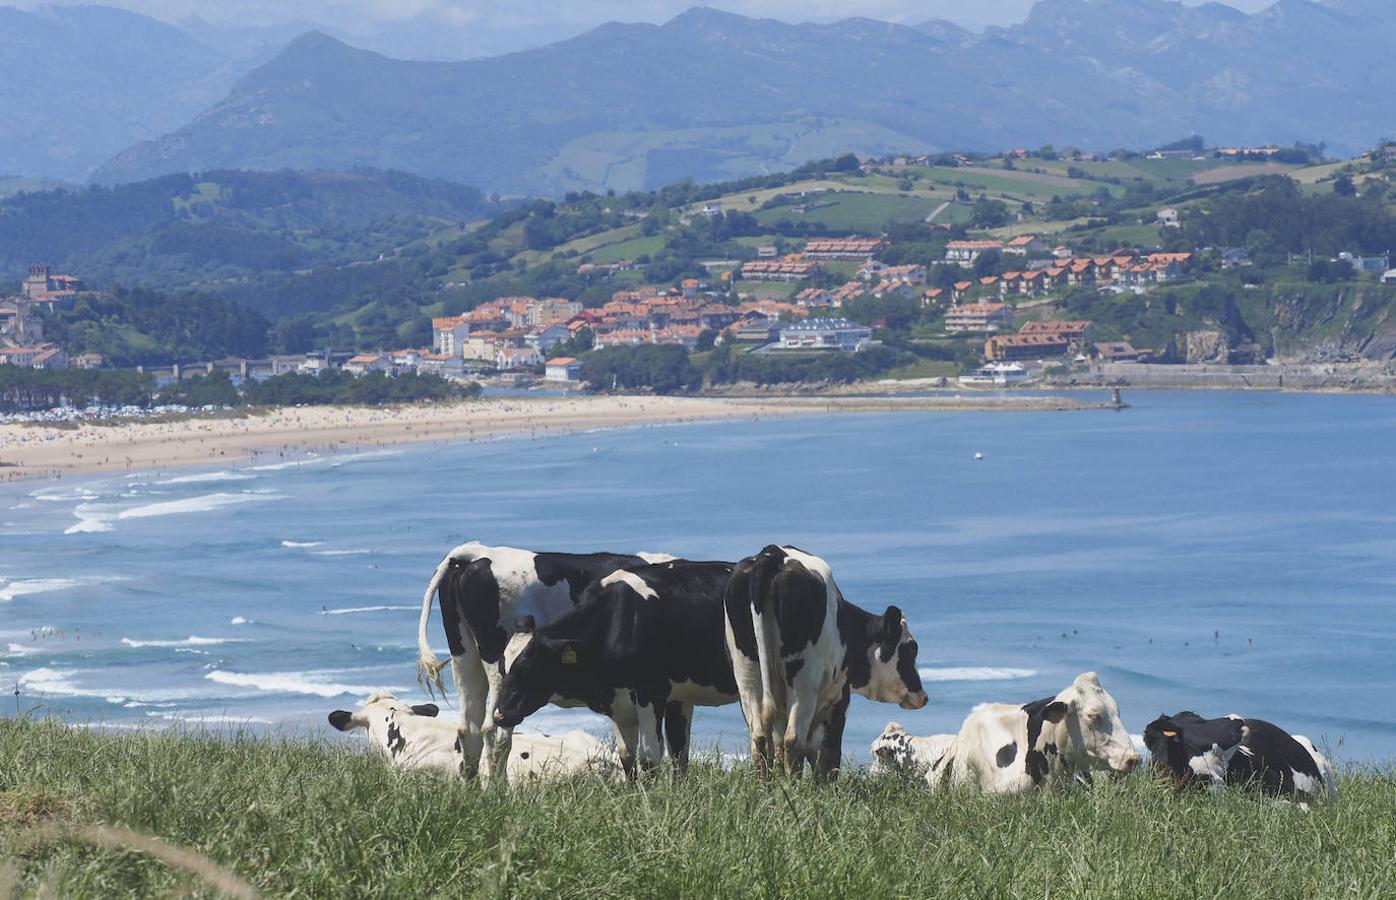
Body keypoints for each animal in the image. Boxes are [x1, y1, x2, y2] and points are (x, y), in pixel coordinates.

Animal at [413, 541, 670, 781]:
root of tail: (479, 553)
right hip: (499, 664)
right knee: (495, 730)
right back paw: (497, 790)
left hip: (464, 651)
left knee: (469, 728)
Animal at [491, 558, 742, 775]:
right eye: (503, 669)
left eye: (529, 666)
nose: (499, 715)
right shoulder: (626, 702)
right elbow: (636, 756)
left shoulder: (652, 692)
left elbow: (649, 758)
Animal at [720, 541, 926, 781]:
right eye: (911, 648)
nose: (923, 696)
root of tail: (772, 553)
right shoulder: (838, 700)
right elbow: (828, 755)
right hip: (804, 681)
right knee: (793, 740)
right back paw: (792, 787)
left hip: (747, 674)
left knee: (761, 736)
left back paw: (765, 787)